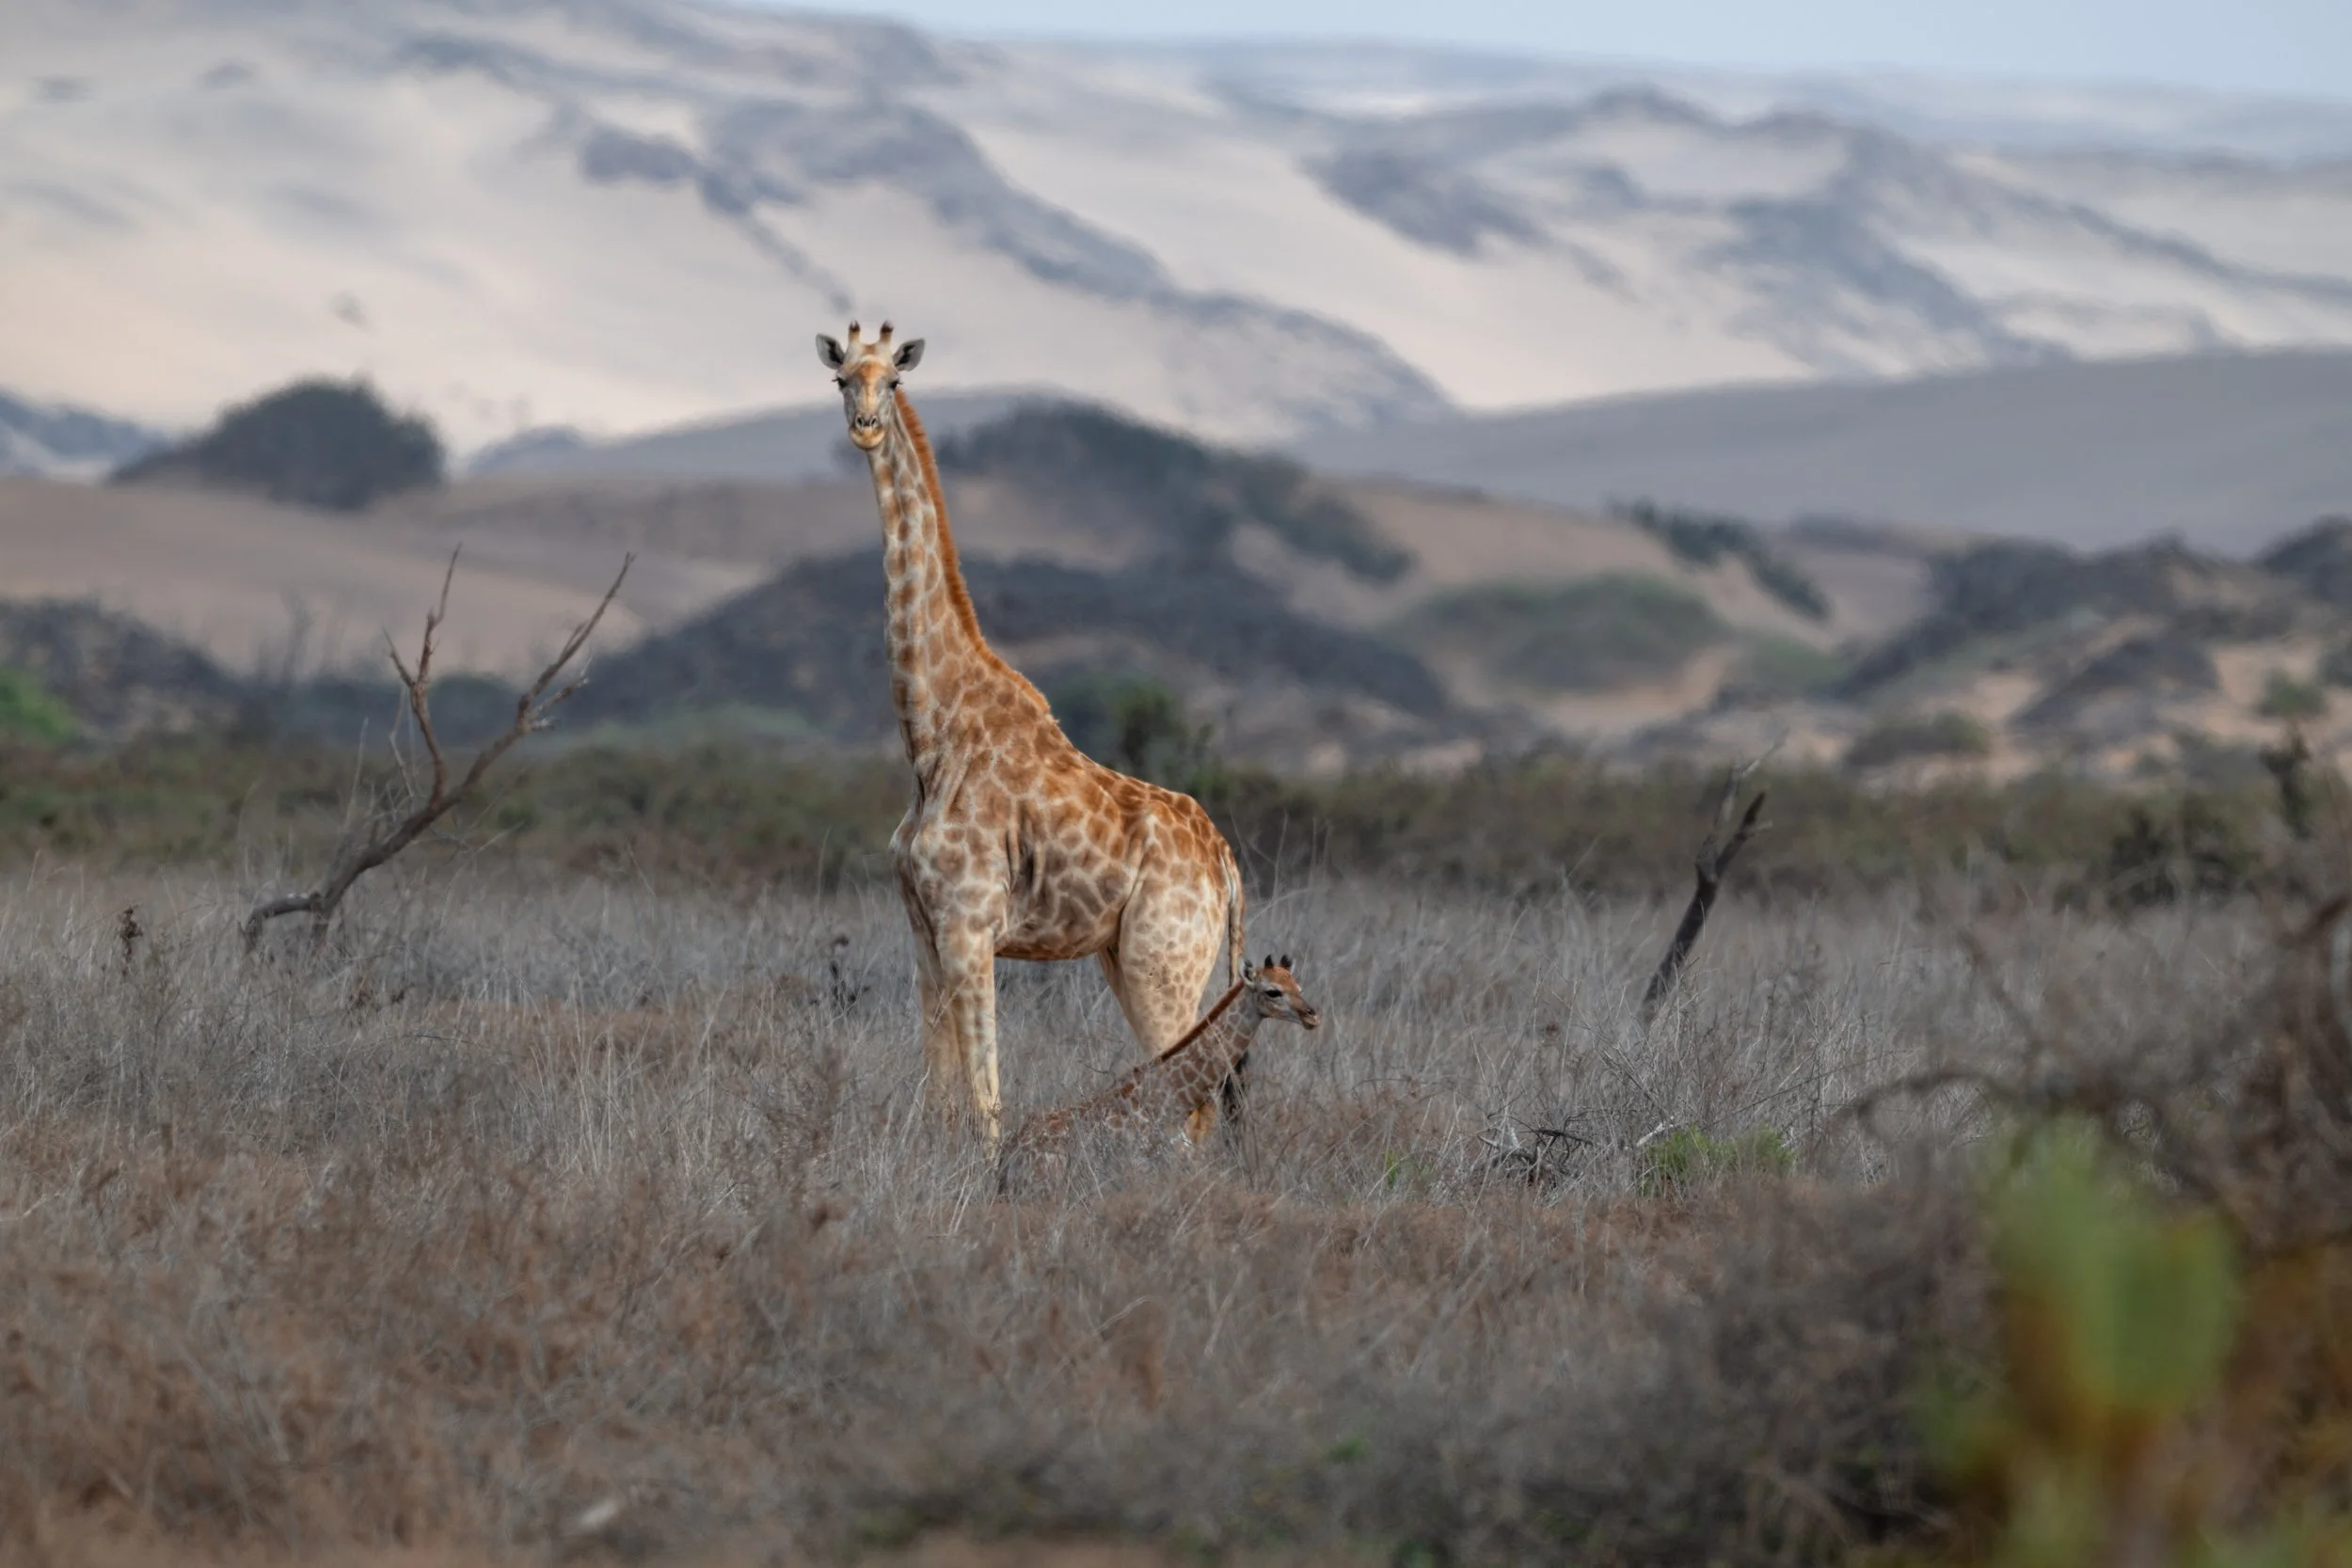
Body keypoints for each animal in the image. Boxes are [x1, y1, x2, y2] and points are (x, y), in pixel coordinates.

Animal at [817, 322, 1247, 1144]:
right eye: (841, 379)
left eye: (893, 381)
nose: (865, 427)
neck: (931, 733)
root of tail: (1227, 866)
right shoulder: (922, 930)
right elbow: (939, 1090)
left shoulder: (969, 925)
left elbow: (986, 1099)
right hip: (1147, 959)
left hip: (1161, 962)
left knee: (1196, 1102)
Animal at [999, 955, 1319, 1189]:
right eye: (1273, 991)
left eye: (1299, 988)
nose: (1311, 1016)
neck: (1175, 1101)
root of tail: (1006, 1161)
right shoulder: (1147, 1171)